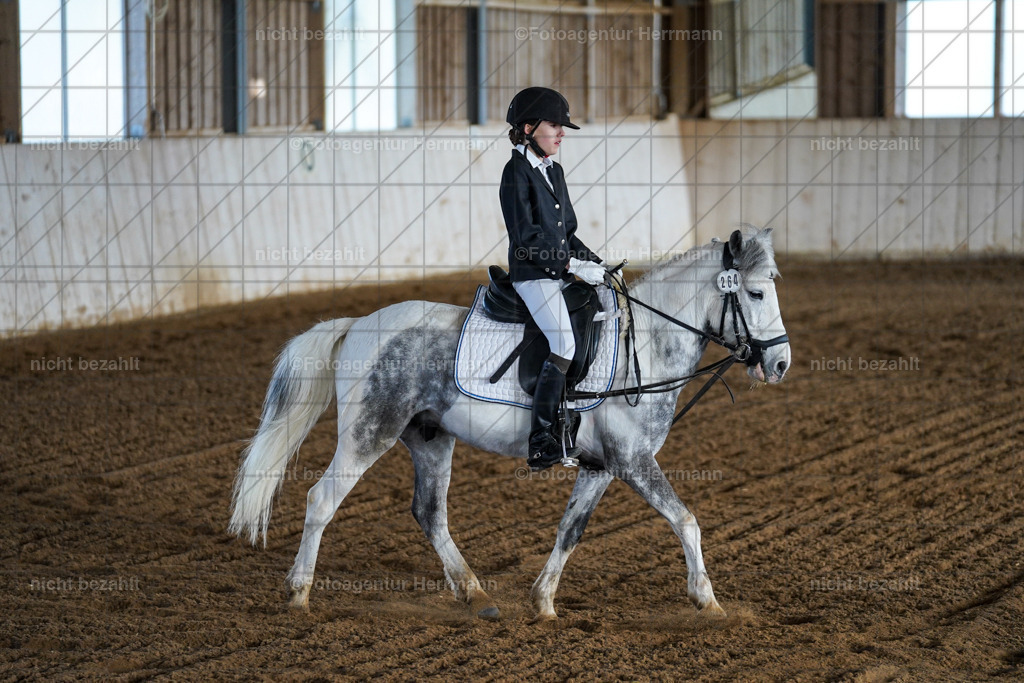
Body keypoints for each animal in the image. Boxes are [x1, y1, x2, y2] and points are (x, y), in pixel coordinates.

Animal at [229, 227, 790, 621]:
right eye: (756, 295)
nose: (780, 364)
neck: (647, 343)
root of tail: (359, 324)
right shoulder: (633, 461)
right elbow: (686, 520)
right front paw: (708, 601)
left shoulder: (601, 466)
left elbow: (570, 530)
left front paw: (543, 602)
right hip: (369, 433)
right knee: (321, 500)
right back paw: (299, 596)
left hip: (430, 438)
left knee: (430, 513)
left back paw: (475, 593)